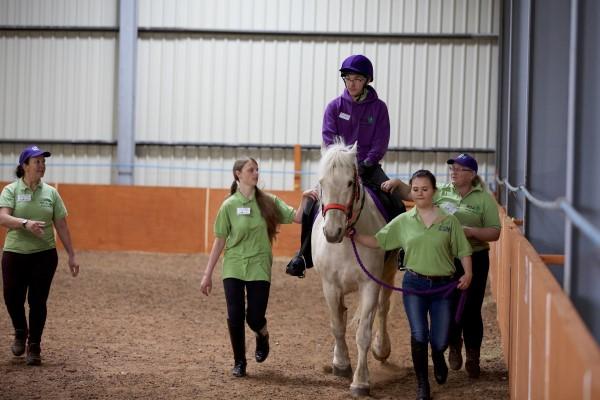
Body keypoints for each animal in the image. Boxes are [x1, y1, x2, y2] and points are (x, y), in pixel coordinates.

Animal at [310, 141, 398, 396]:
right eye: (322, 182)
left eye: (350, 182)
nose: (332, 232)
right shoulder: (330, 285)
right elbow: (337, 325)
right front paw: (341, 364)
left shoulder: (369, 284)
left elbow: (363, 334)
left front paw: (361, 382)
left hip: (388, 273)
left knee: (383, 308)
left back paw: (382, 348)